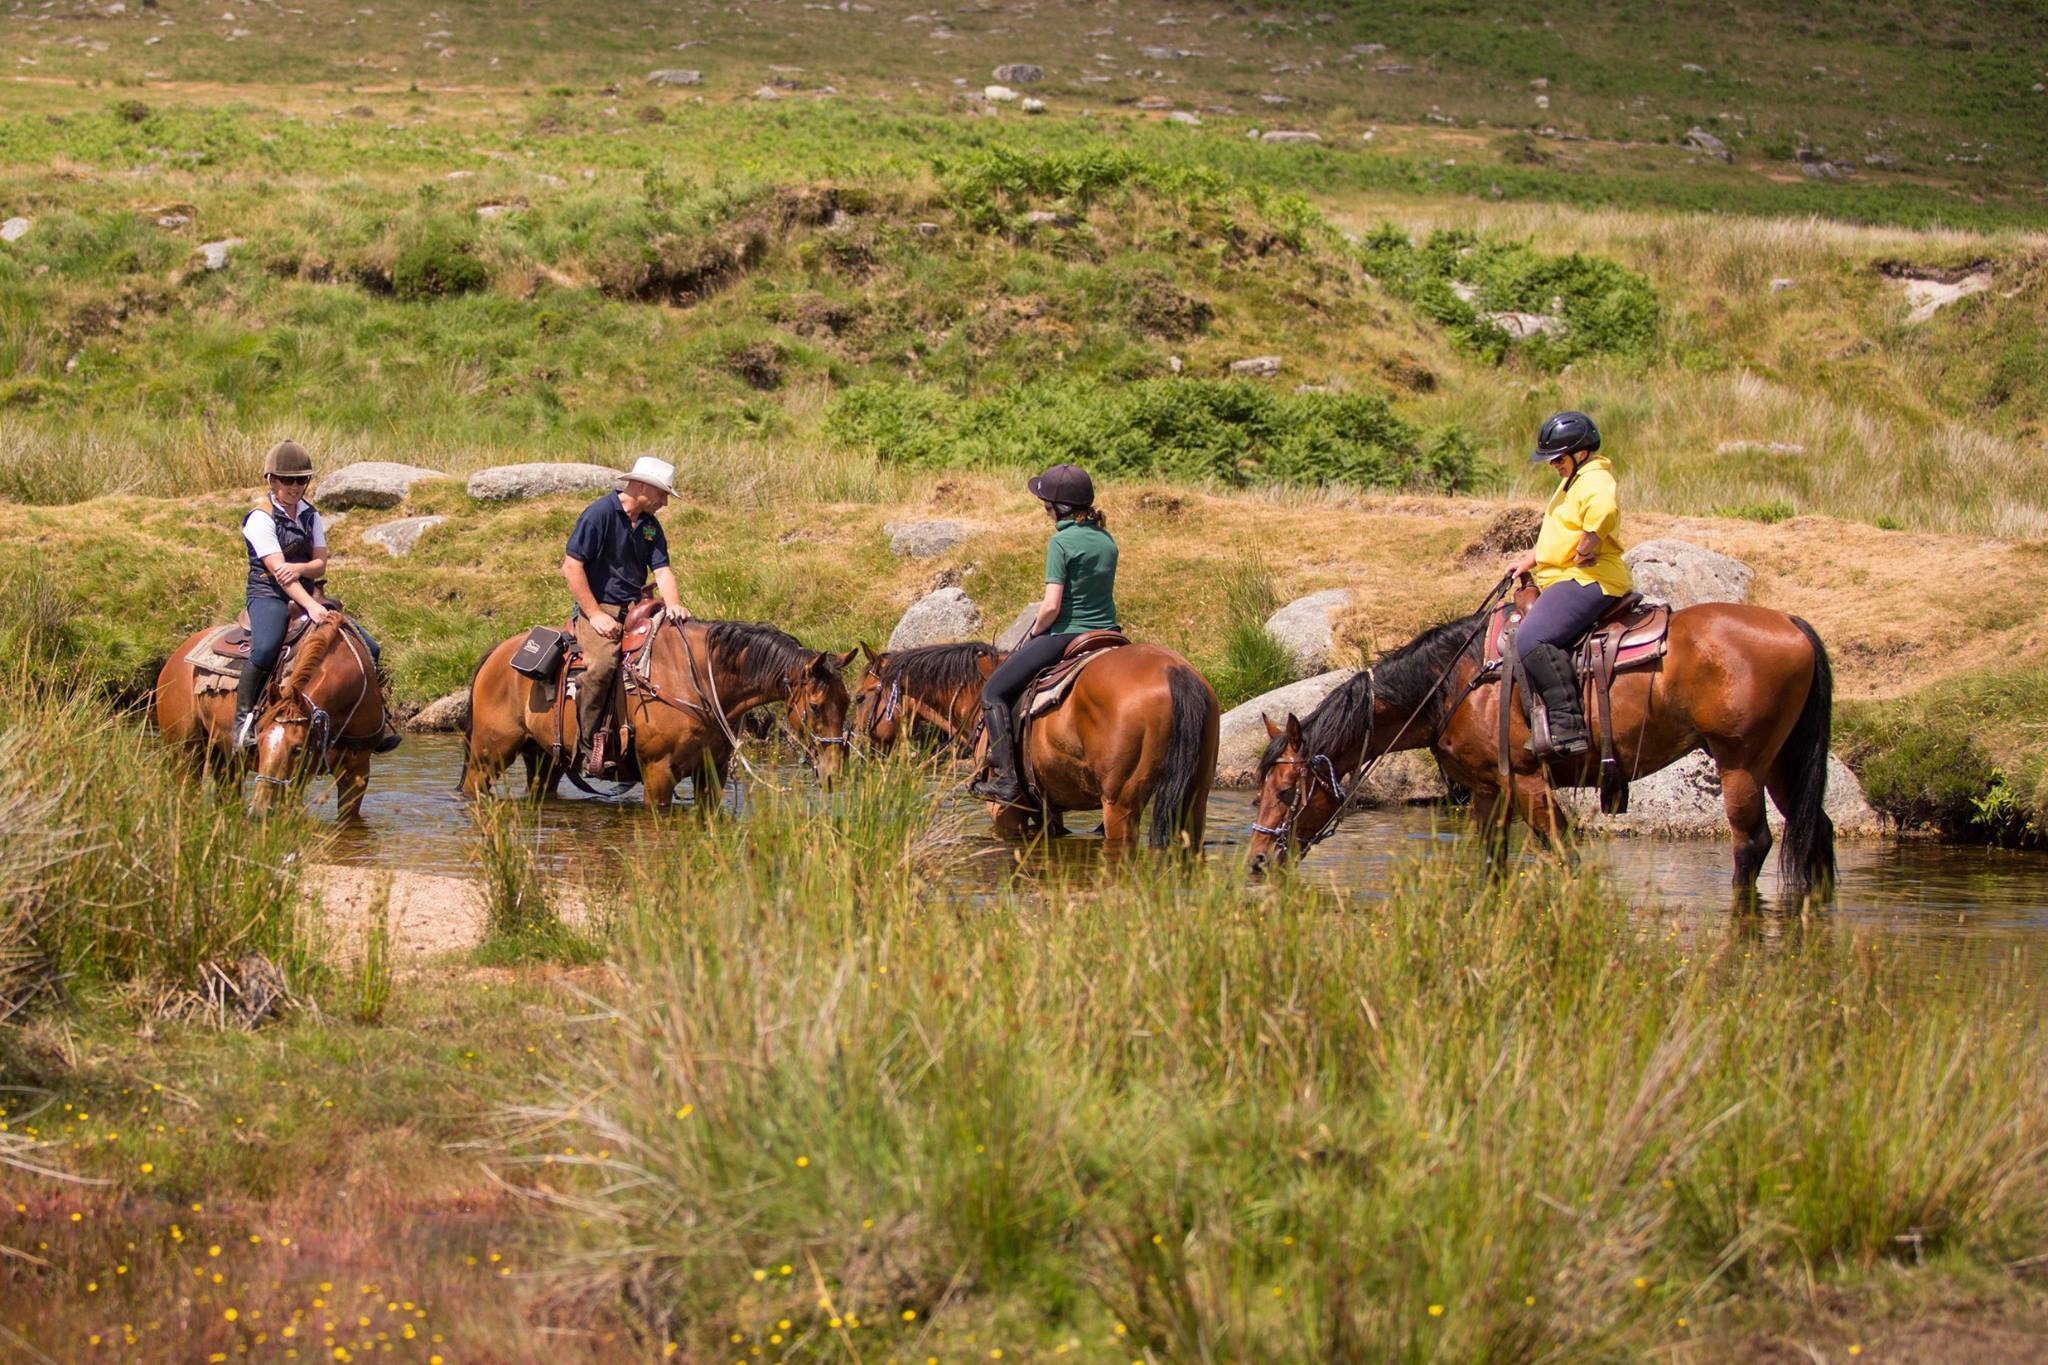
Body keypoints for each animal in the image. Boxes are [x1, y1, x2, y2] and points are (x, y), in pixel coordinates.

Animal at [154, 609, 387, 822]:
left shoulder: (356, 772)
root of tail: (175, 657)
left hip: (225, 758)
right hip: (185, 751)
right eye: (260, 740)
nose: (259, 810)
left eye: (298, 748)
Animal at [464, 618, 856, 810]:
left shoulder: (711, 774)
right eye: (816, 706)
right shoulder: (658, 774)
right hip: (489, 754)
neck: (700, 680)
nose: (833, 774)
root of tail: (497, 652)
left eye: (848, 703)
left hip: (544, 759)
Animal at [1245, 593, 1843, 896]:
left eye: (1288, 789)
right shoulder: (1489, 790)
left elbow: (1565, 853)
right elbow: (1491, 864)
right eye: (1257, 793)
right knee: (1816, 833)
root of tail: (1791, 624)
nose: (1255, 861)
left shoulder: (1527, 782)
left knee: (1752, 844)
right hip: (1782, 762)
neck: (1454, 683)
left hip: (1741, 760)